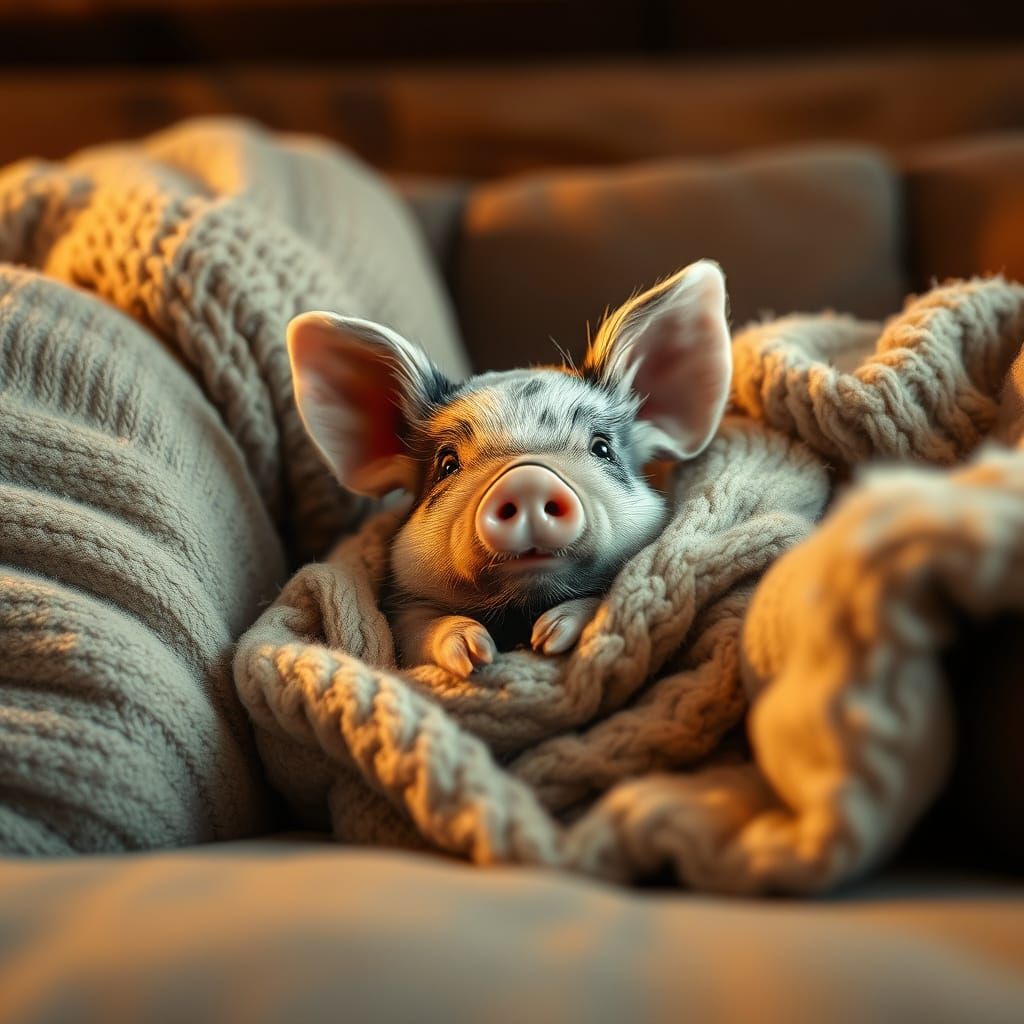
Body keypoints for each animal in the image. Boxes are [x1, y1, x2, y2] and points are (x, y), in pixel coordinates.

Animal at [287, 259, 731, 678]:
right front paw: (474, 654)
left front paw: (551, 638)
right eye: (447, 463)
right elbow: (420, 628)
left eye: (602, 447)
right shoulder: (402, 605)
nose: (527, 479)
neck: (520, 614)